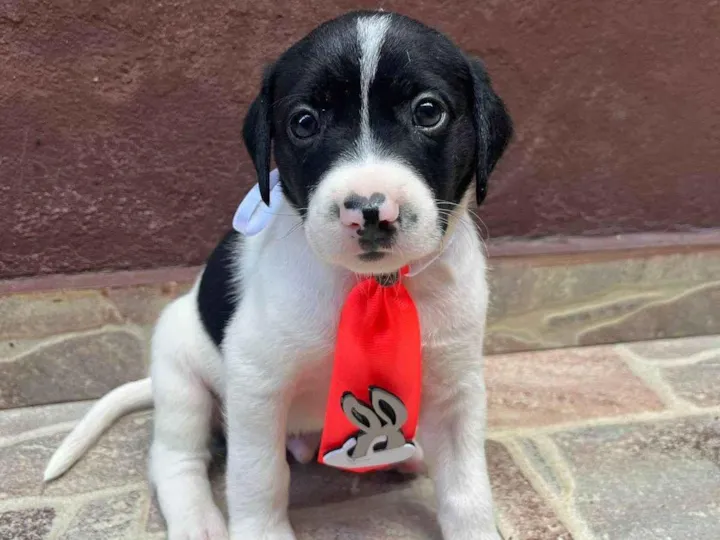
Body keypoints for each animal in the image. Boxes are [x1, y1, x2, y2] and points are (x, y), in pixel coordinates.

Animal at [45, 10, 512, 540]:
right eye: (304, 122)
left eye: (429, 111)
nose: (370, 210)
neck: (373, 285)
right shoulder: (256, 385)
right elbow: (259, 475)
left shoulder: (456, 390)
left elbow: (467, 490)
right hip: (182, 380)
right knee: (174, 459)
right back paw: (197, 517)